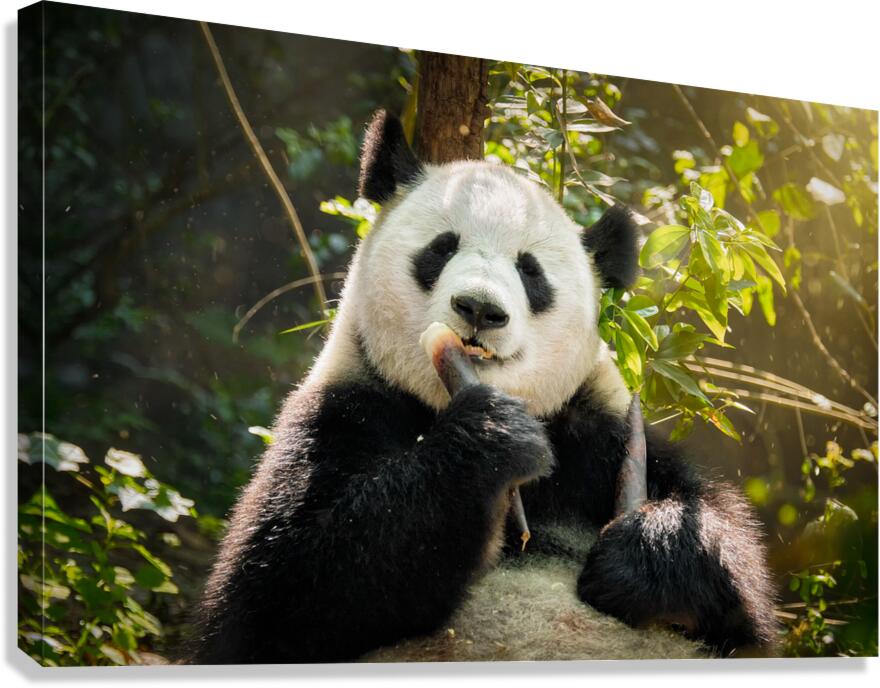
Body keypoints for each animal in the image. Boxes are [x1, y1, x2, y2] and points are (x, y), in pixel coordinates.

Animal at [187, 110, 777, 664]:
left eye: (531, 271)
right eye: (442, 248)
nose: (479, 309)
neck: (443, 399)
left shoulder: (602, 432)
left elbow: (732, 565)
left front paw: (641, 555)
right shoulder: (343, 410)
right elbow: (278, 595)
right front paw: (493, 436)